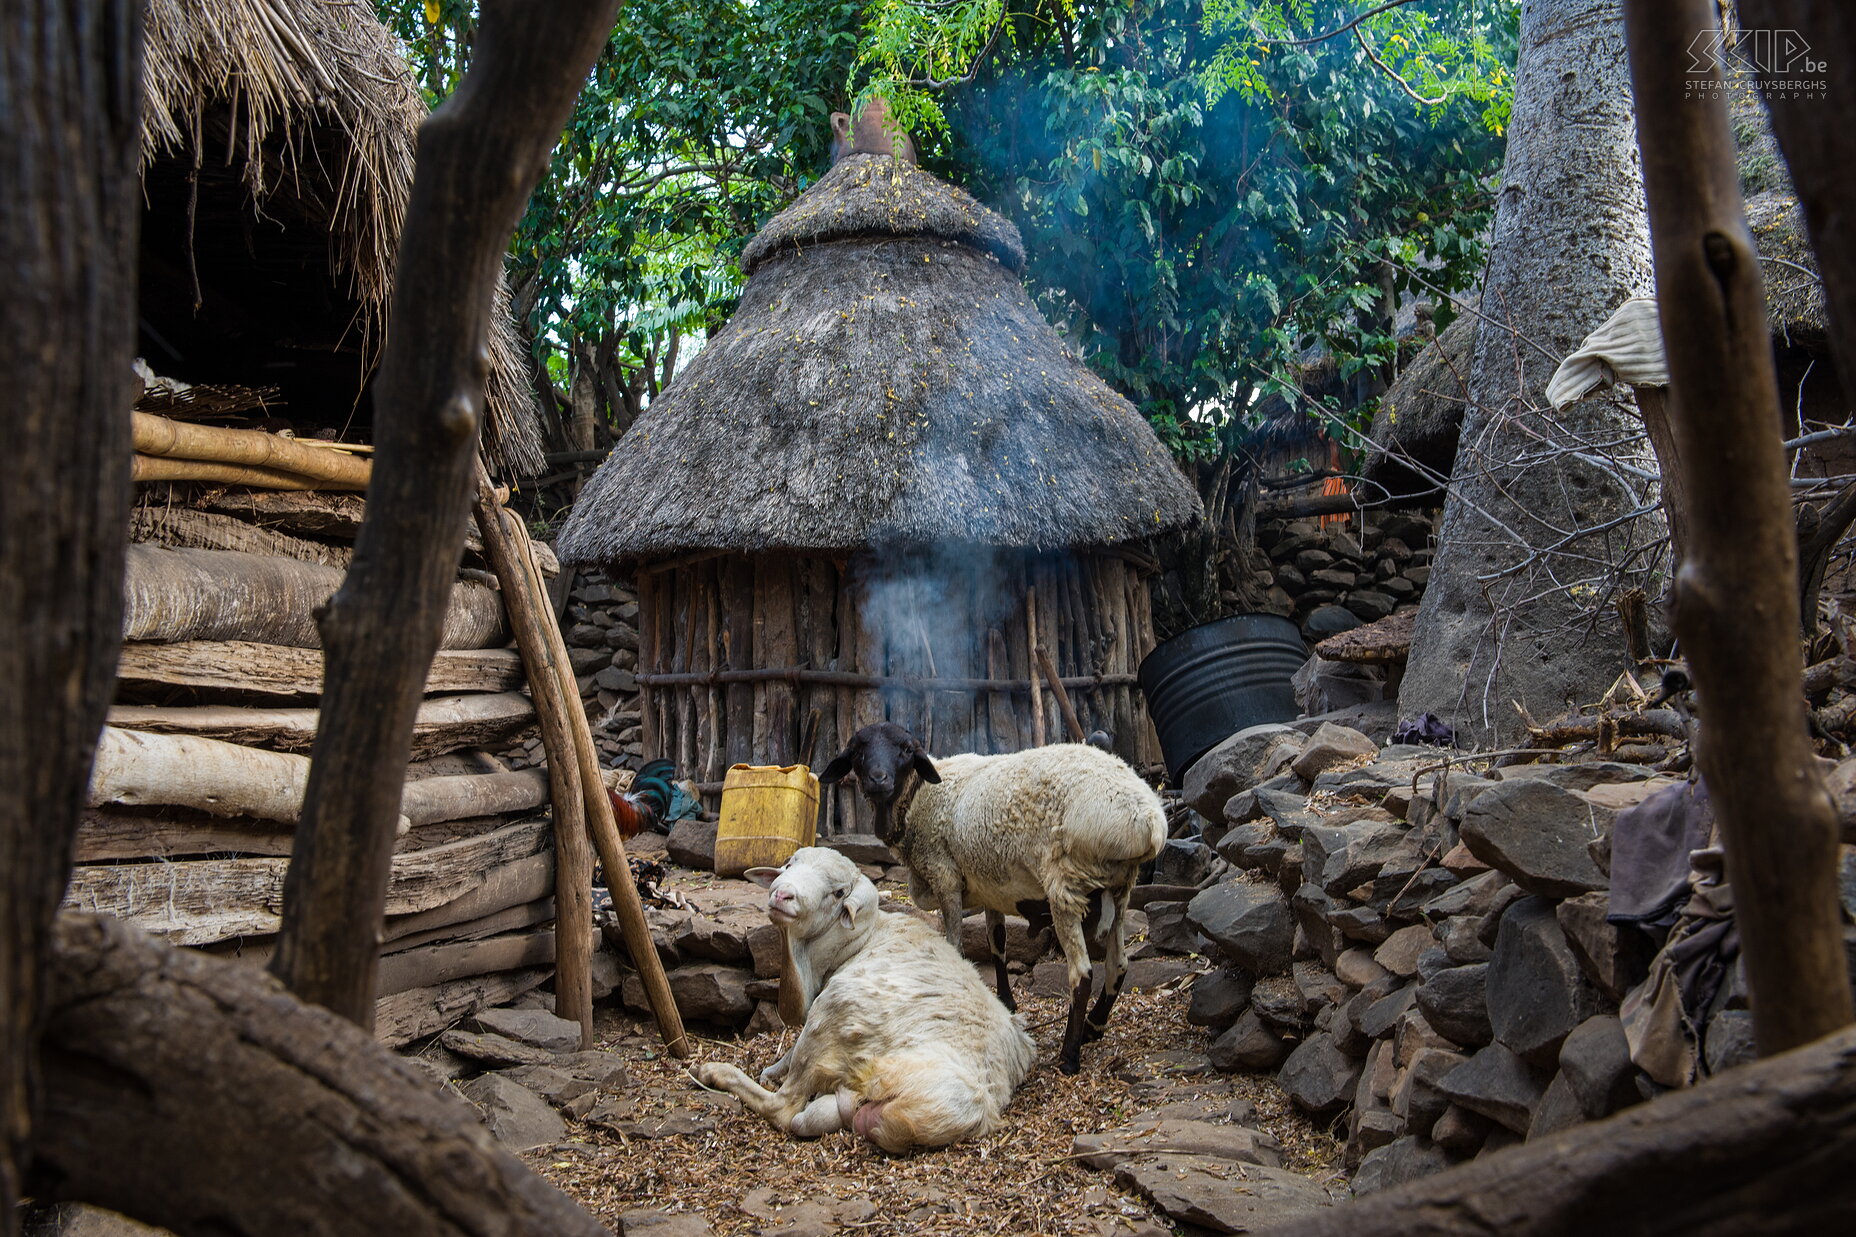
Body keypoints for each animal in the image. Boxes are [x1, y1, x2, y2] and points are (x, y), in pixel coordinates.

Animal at [690, 843, 1039, 1151]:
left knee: (784, 1108)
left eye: (838, 893)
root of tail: (973, 1106)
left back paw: (717, 1072)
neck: (858, 941)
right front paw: (775, 1068)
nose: (783, 894)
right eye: (788, 865)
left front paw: (768, 1071)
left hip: (835, 1013)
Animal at [824, 724, 1158, 1069]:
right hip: (1120, 890)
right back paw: (1094, 1026)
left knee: (1082, 975)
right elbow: (997, 943)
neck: (917, 797)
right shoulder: (990, 886)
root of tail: (1147, 819)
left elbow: (956, 945)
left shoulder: (945, 875)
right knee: (1118, 964)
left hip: (1064, 886)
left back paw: (1069, 1057)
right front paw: (1006, 1001)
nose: (878, 779)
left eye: (905, 750)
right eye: (858, 752)